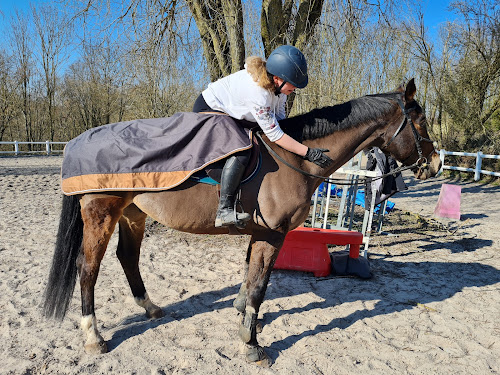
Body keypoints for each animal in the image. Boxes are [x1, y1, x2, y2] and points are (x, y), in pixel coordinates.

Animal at [43, 78, 442, 368]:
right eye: (421, 121)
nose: (436, 163)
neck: (293, 158)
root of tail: (79, 141)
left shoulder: (260, 232)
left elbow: (250, 275)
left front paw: (244, 317)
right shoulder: (272, 234)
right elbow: (260, 286)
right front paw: (251, 343)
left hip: (133, 214)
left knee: (127, 258)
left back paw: (150, 308)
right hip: (102, 215)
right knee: (87, 269)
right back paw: (94, 336)